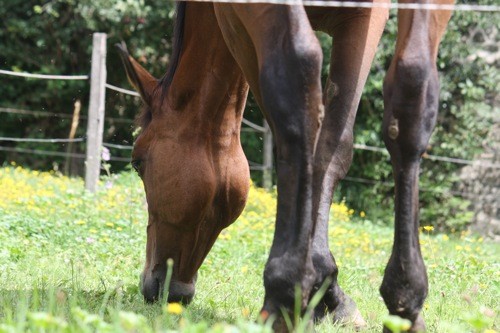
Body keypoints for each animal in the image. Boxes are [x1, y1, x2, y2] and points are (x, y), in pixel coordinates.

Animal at [117, 0, 454, 330]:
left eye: (137, 163)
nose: (156, 286)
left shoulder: (235, 21)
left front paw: (317, 288)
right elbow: (330, 147)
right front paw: (326, 287)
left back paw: (284, 296)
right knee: (412, 86)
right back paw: (403, 299)